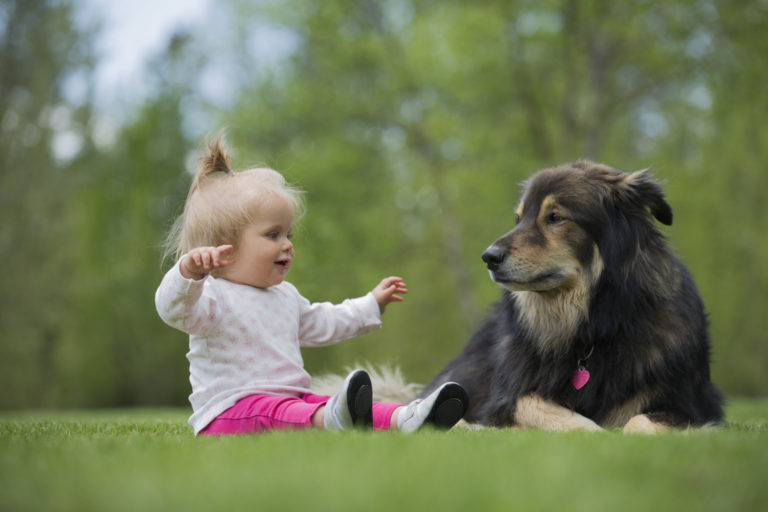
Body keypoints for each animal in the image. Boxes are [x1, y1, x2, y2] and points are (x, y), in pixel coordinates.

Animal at [420, 161, 728, 432]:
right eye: (518, 219)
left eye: (555, 217)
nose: (488, 257)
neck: (594, 329)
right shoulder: (508, 397)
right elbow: (543, 408)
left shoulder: (691, 406)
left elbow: (638, 422)